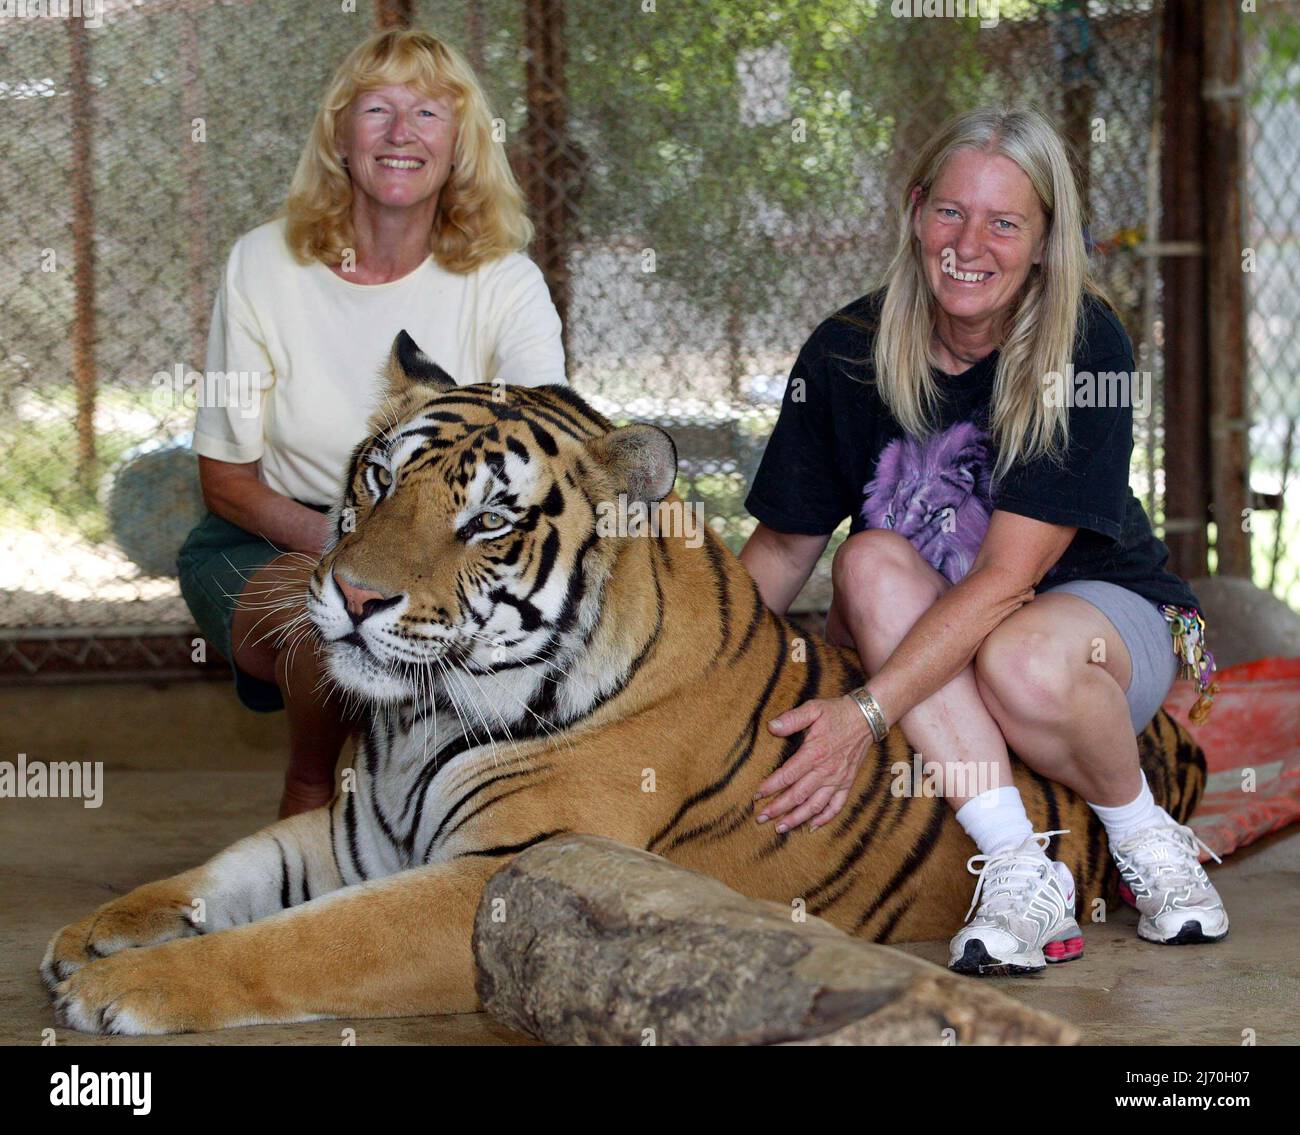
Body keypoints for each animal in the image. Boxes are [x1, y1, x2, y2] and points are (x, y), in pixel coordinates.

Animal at [35, 330, 1201, 1034]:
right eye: (376, 477)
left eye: (487, 520)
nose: (356, 596)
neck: (421, 718)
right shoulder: (357, 832)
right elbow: (227, 871)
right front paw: (90, 932)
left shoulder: (497, 876)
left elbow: (309, 937)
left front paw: (123, 985)